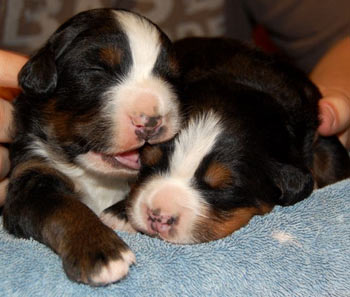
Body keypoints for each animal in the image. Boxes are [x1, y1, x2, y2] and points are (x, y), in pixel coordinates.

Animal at [3, 9, 180, 286]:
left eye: (170, 78)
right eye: (97, 70)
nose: (151, 121)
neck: (97, 177)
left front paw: (121, 213)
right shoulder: (31, 173)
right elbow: (64, 207)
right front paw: (100, 250)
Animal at [101, 37, 350, 244]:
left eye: (224, 188)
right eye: (148, 162)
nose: (158, 216)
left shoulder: (316, 130)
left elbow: (330, 159)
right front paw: (119, 214)